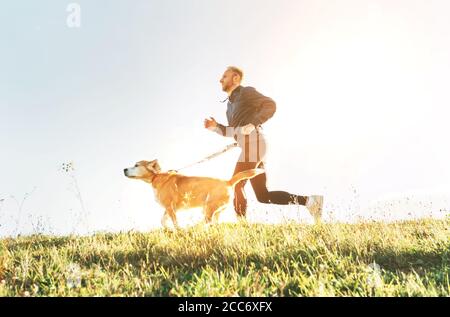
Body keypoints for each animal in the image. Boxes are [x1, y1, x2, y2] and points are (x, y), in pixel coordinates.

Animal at [124, 160, 264, 227]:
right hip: (216, 210)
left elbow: (175, 223)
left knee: (207, 222)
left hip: (208, 207)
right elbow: (163, 221)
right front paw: (167, 229)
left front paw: (177, 231)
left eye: (136, 165)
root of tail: (228, 181)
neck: (156, 177)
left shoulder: (170, 207)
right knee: (213, 223)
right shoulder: (168, 208)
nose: (124, 169)